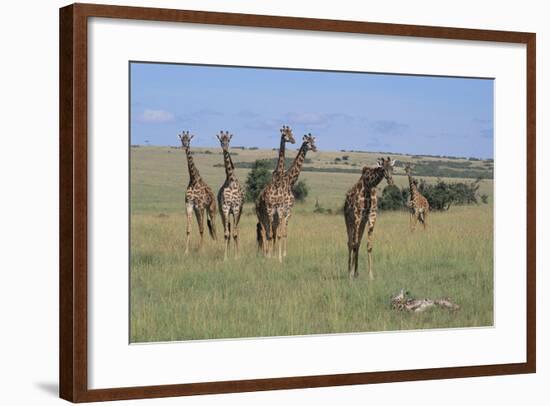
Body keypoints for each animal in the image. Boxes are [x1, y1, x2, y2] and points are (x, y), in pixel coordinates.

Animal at [256, 126, 296, 260]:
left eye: (291, 132)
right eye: (284, 134)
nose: (293, 140)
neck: (278, 183)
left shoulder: (279, 210)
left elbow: (278, 234)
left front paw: (278, 258)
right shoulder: (270, 210)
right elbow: (271, 234)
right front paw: (270, 256)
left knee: (270, 232)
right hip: (261, 215)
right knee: (264, 232)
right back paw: (266, 254)